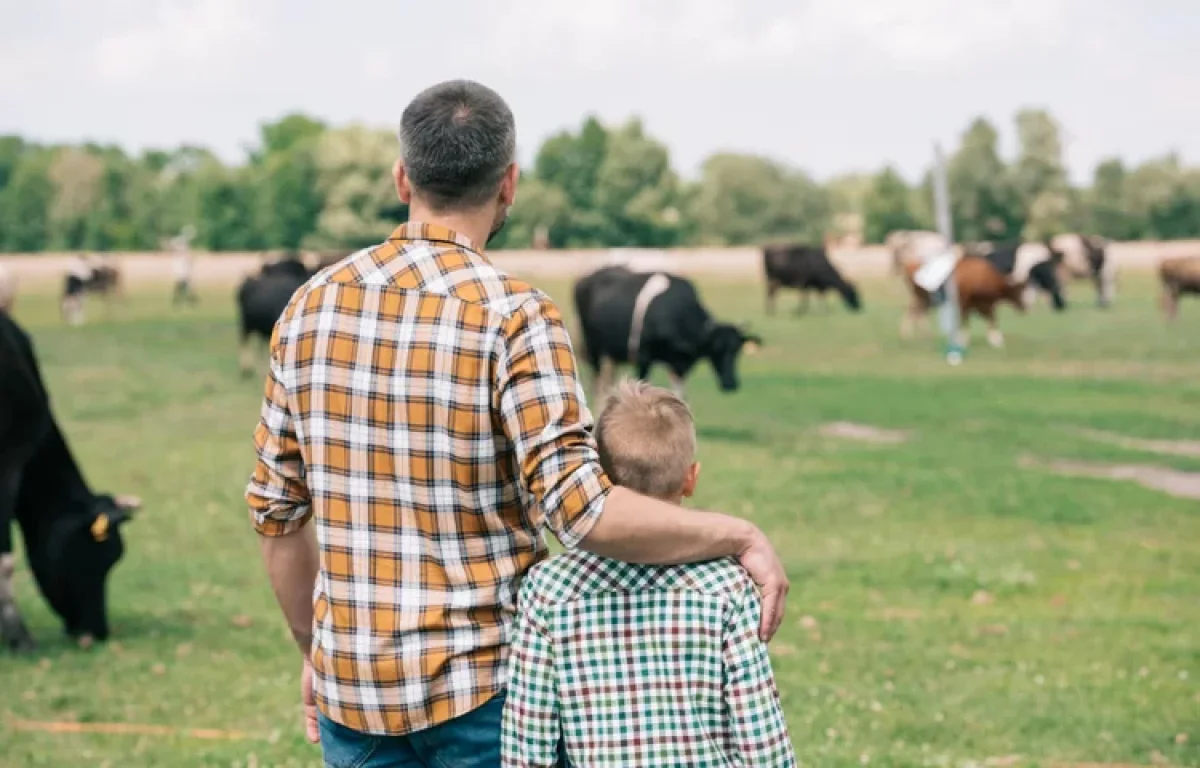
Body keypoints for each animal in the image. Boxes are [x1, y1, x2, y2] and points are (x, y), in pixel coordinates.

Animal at [571, 265, 758, 398]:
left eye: (737, 349)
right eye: (716, 349)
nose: (731, 384)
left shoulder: (680, 365)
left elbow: (680, 397)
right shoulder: (644, 357)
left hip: (611, 355)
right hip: (592, 348)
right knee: (597, 386)